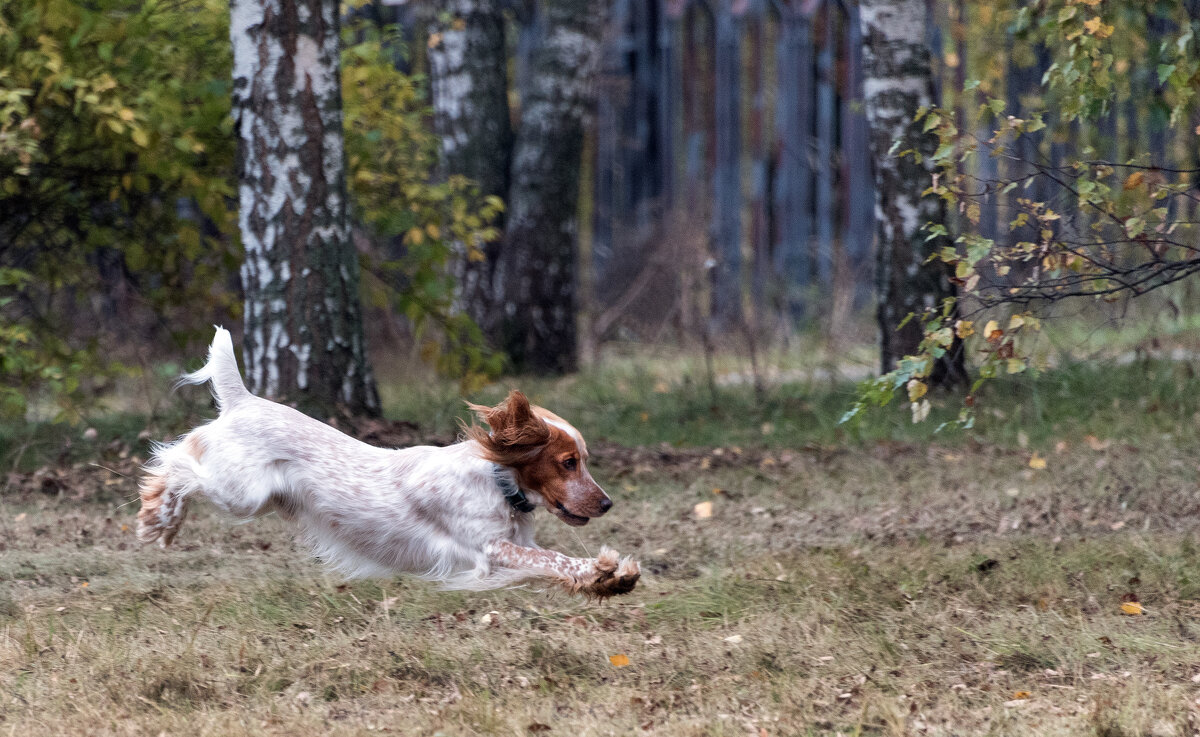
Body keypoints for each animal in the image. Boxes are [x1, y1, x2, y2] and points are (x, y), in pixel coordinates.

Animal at [137, 328, 643, 600]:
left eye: (584, 461)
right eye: (568, 462)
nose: (607, 504)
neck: (496, 479)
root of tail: (244, 399)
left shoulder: (508, 551)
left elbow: (551, 563)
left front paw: (612, 580)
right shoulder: (489, 550)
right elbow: (555, 559)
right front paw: (602, 570)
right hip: (240, 494)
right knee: (176, 462)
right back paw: (158, 519)